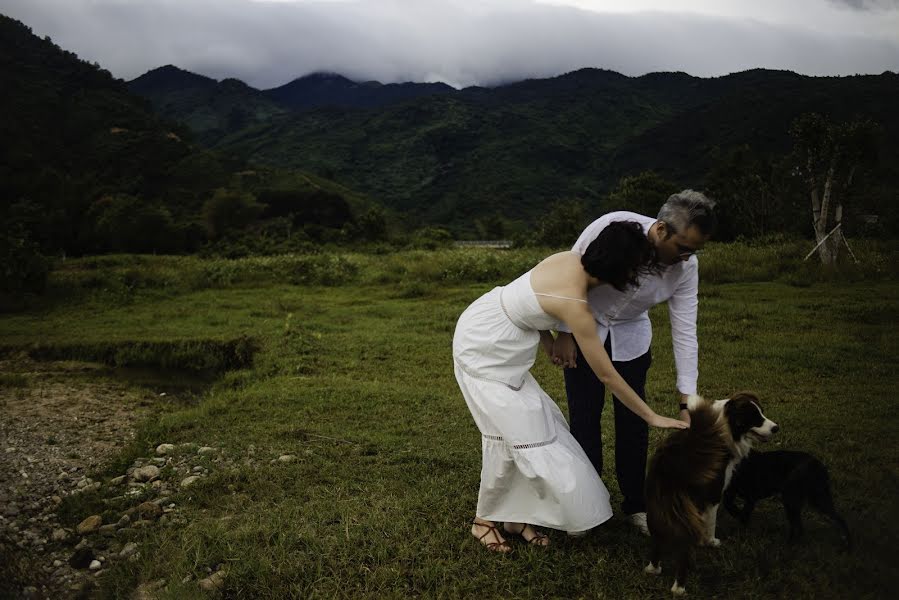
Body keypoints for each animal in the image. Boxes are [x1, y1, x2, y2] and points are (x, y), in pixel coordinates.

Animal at [644, 392, 776, 592]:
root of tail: (668, 465)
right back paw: (679, 587)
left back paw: (653, 568)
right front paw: (711, 542)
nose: (776, 428)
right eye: (754, 417)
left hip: (657, 507)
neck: (725, 425)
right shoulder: (713, 494)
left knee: (657, 538)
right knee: (682, 548)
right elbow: (710, 522)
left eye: (762, 412)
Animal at [724, 448, 852, 552]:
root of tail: (820, 466)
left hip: (795, 499)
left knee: (803, 526)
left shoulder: (750, 497)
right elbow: (730, 506)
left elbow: (741, 514)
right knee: (800, 526)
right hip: (810, 499)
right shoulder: (733, 494)